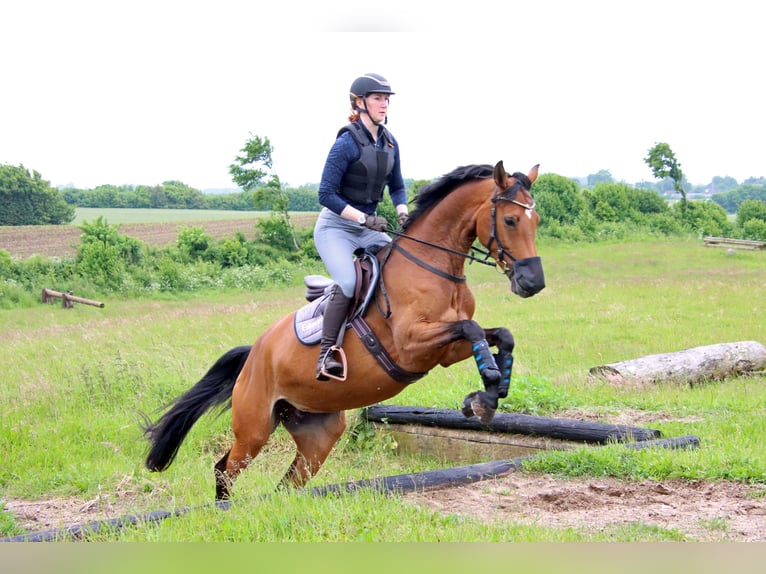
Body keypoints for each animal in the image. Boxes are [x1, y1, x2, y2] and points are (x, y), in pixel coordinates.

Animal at [143, 161, 545, 501]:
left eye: (536, 220)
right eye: (511, 220)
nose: (533, 282)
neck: (433, 267)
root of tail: (253, 354)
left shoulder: (445, 350)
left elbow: (499, 334)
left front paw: (491, 393)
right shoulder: (413, 344)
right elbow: (472, 327)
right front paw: (486, 391)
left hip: (317, 433)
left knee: (287, 485)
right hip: (254, 425)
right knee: (225, 469)